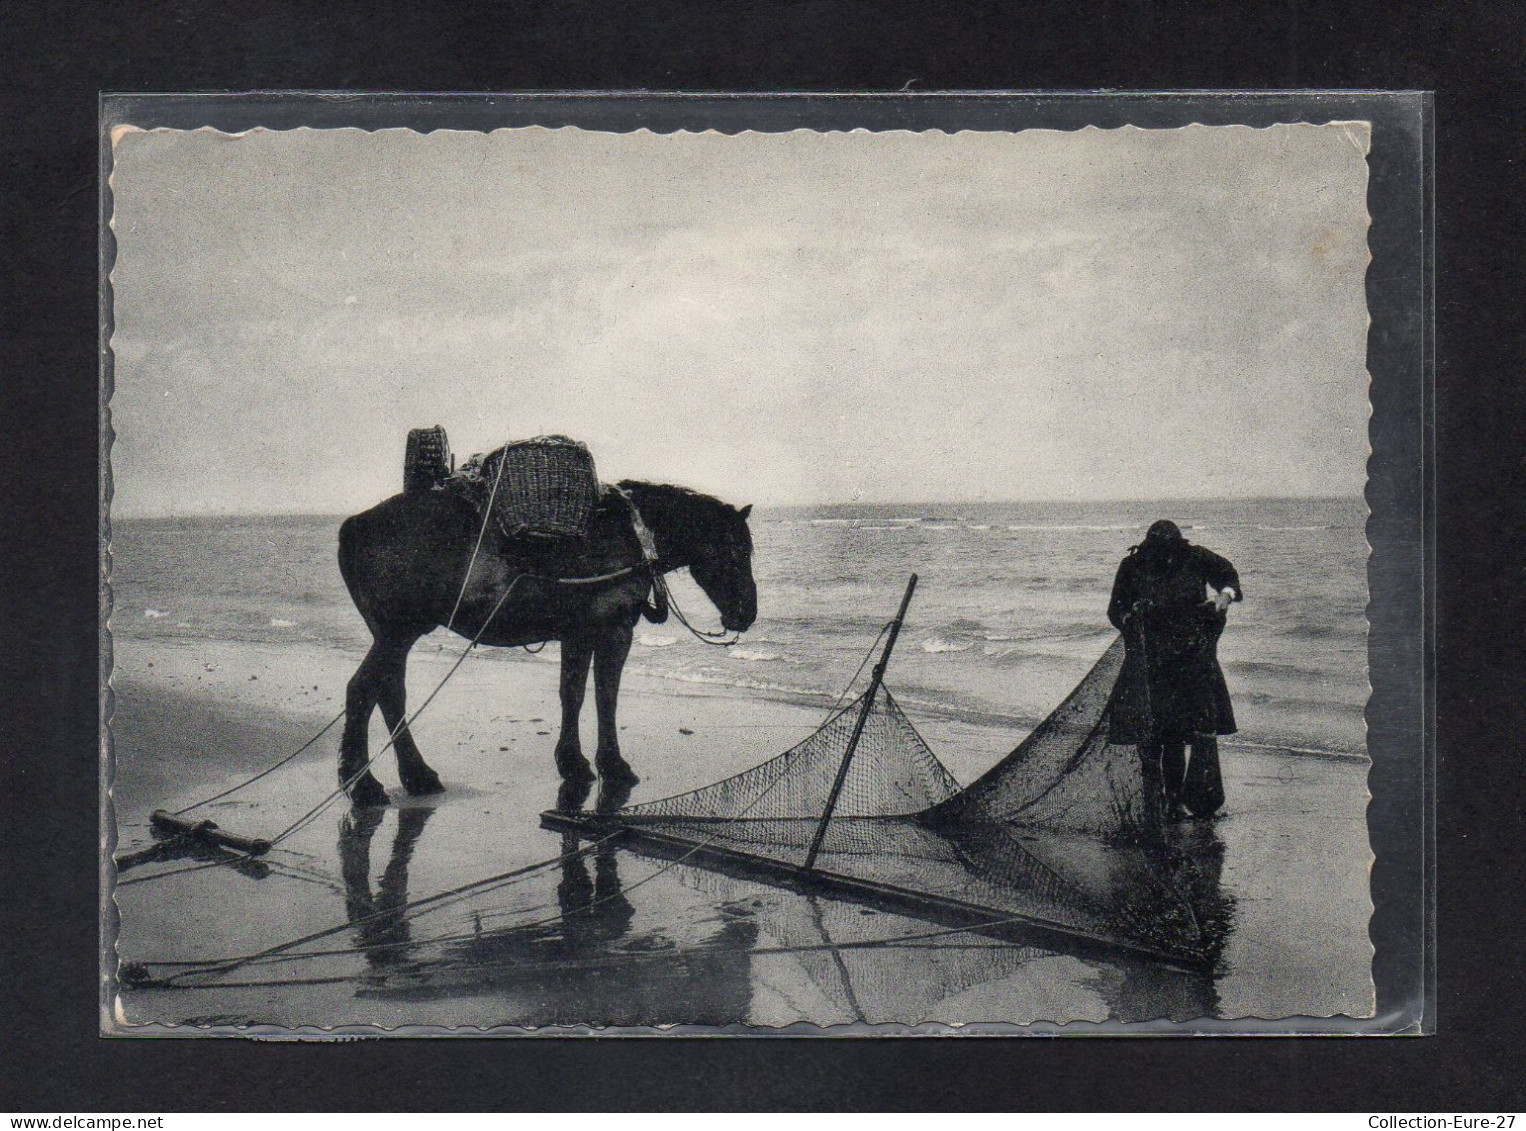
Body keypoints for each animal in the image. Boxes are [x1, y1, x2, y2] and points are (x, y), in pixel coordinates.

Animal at [338, 476, 756, 805]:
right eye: (737, 550)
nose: (747, 613)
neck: (632, 534)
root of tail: (355, 524)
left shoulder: (580, 634)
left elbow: (574, 694)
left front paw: (574, 761)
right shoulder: (613, 631)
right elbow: (604, 695)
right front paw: (609, 764)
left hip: (397, 636)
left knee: (388, 693)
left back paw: (416, 775)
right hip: (397, 634)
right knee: (362, 690)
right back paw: (363, 785)